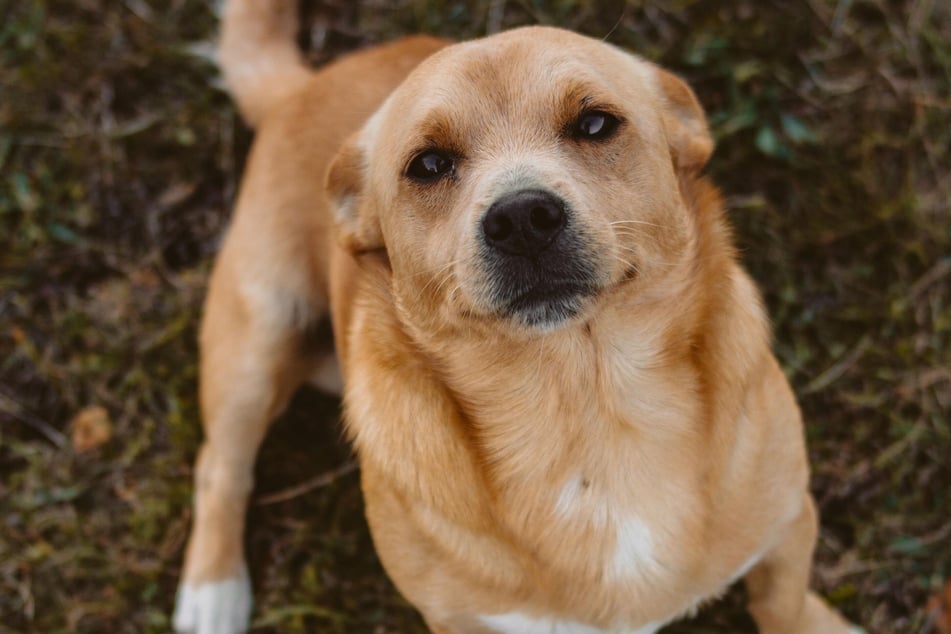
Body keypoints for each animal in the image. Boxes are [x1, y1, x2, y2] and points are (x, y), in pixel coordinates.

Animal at [171, 2, 864, 628]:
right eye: (428, 165)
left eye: (595, 123)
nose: (522, 218)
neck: (586, 410)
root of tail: (303, 85)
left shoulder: (789, 524)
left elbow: (785, 605)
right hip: (255, 341)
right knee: (219, 468)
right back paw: (213, 591)